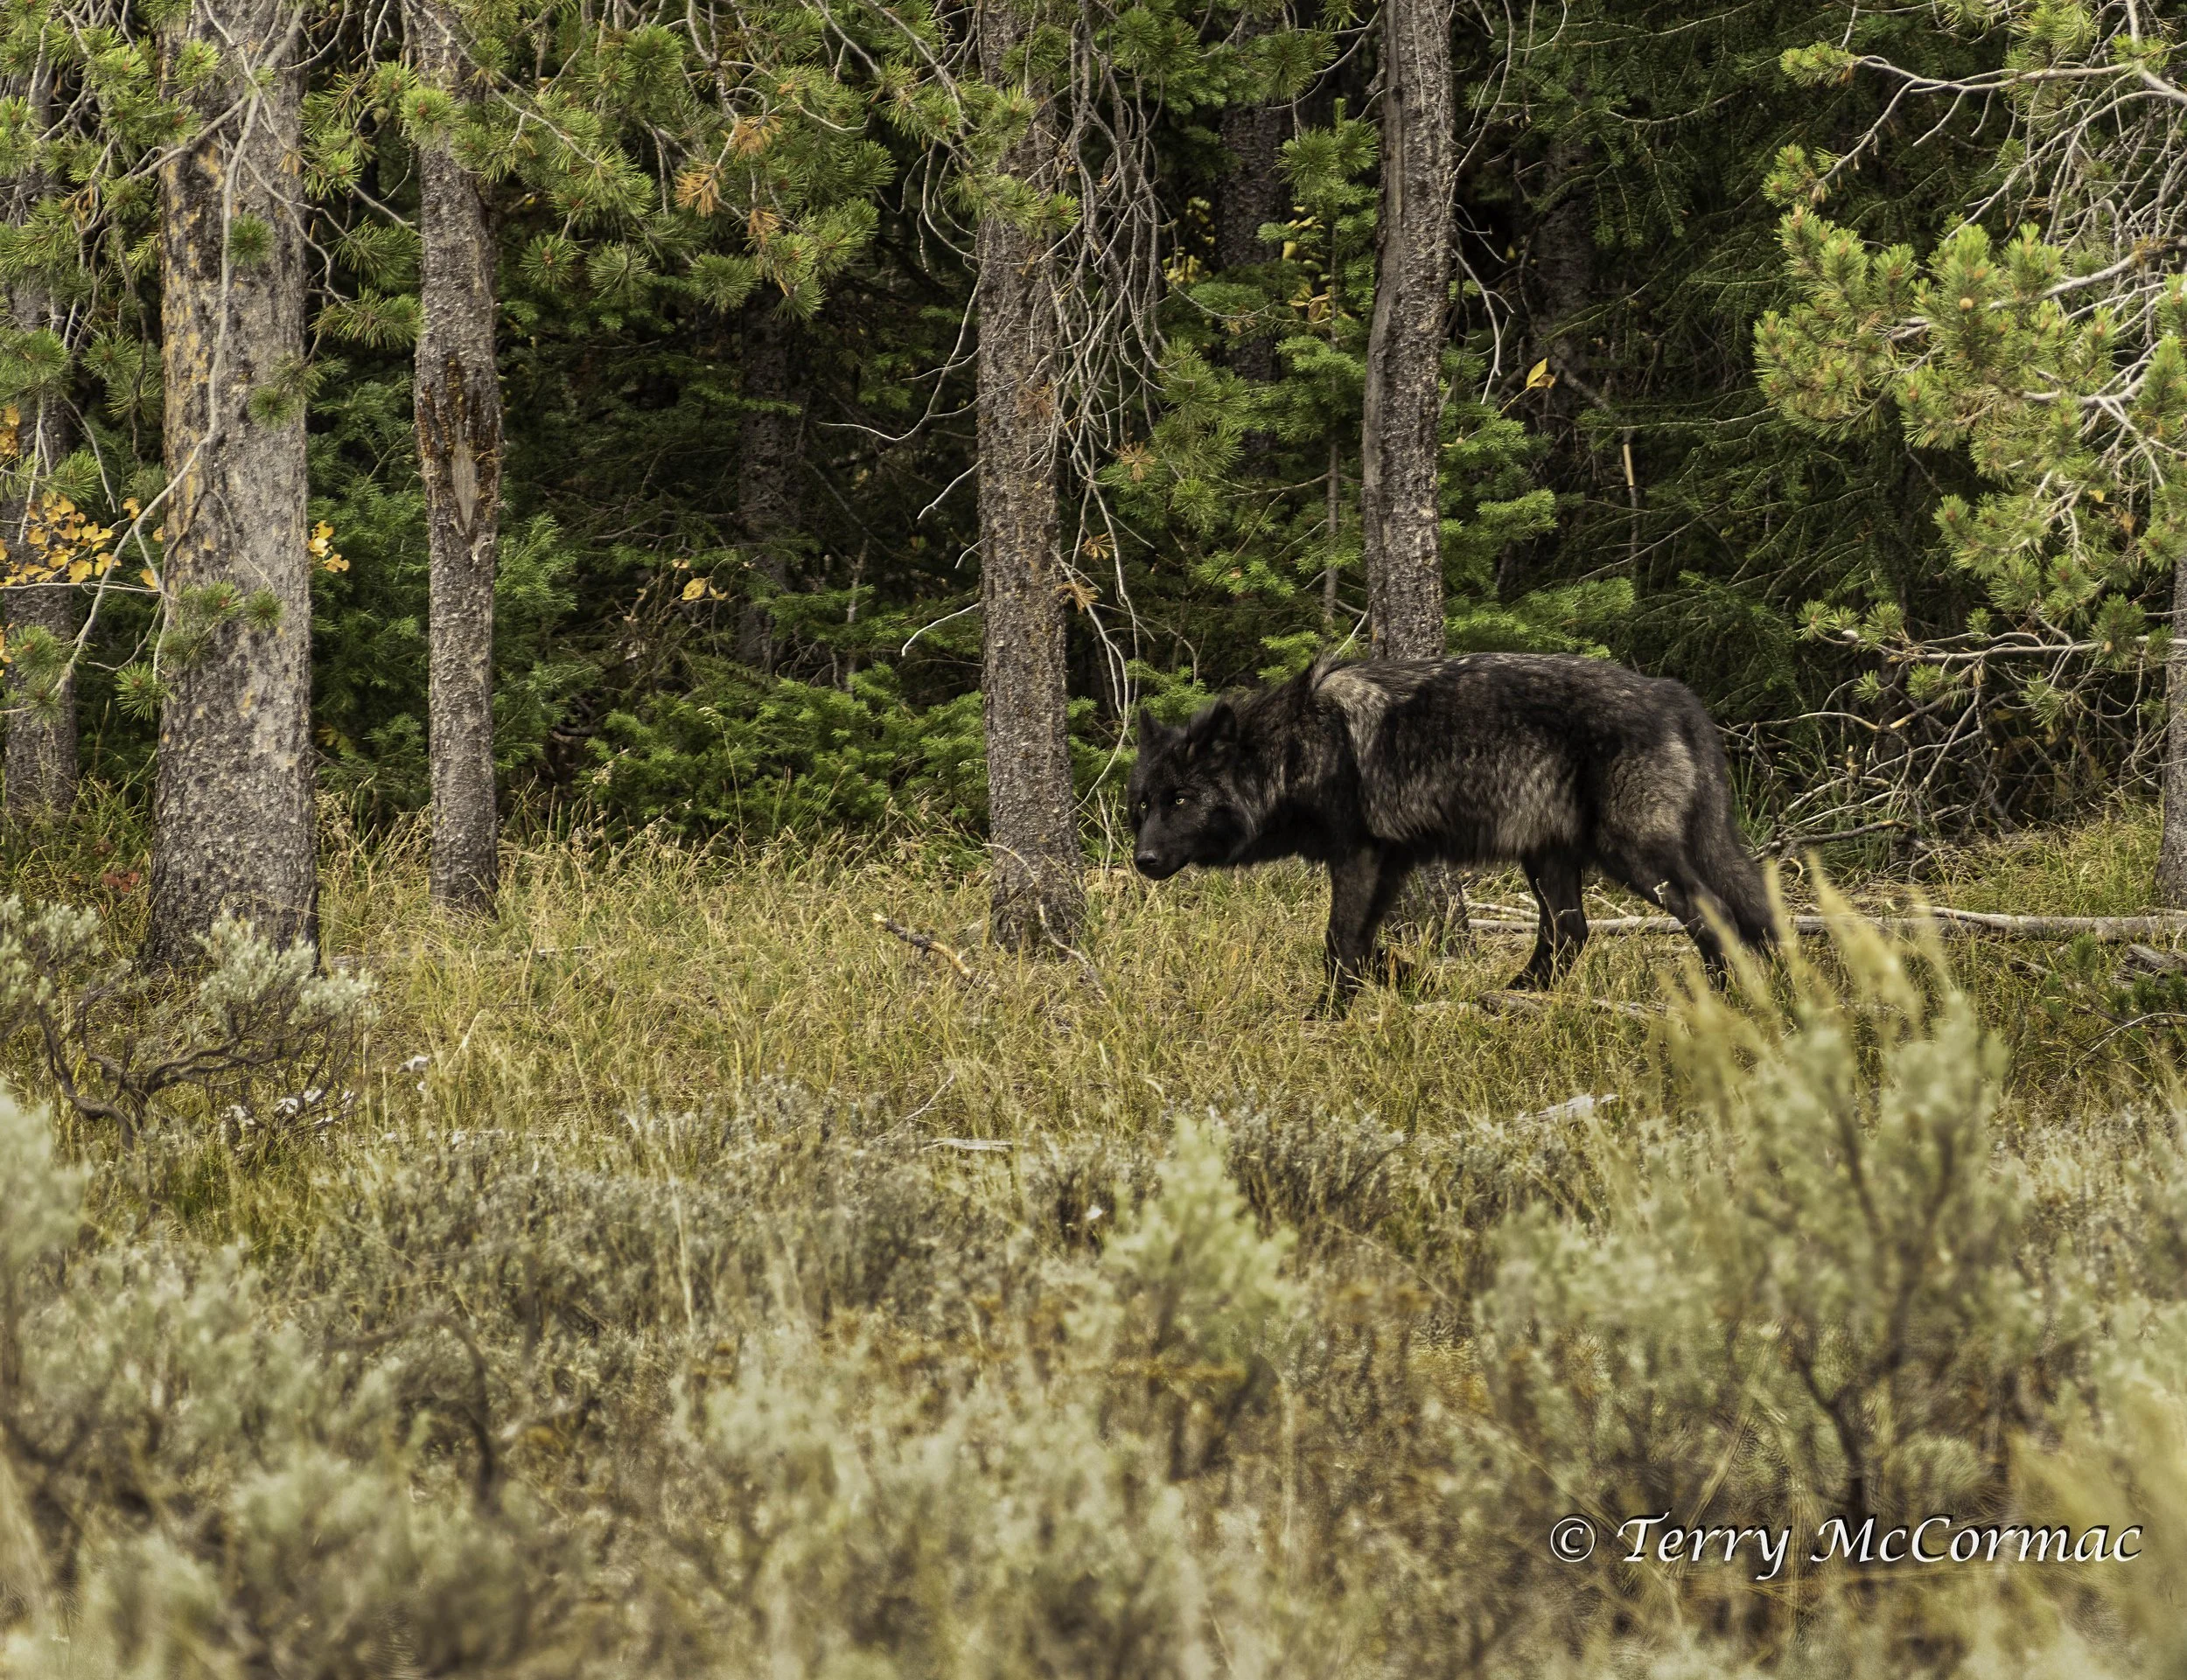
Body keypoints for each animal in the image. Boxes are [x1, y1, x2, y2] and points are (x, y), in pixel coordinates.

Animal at [1127, 654, 1775, 1010]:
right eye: (1142, 805)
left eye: (1181, 800)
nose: (1144, 859)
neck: (1293, 749)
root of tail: (1674, 693)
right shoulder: (1388, 864)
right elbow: (1361, 945)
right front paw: (1403, 978)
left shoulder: (1359, 856)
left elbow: (1338, 942)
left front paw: (1323, 1018)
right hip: (1547, 858)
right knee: (1571, 933)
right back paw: (1513, 997)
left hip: (1632, 856)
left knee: (1711, 911)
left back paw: (1718, 1000)